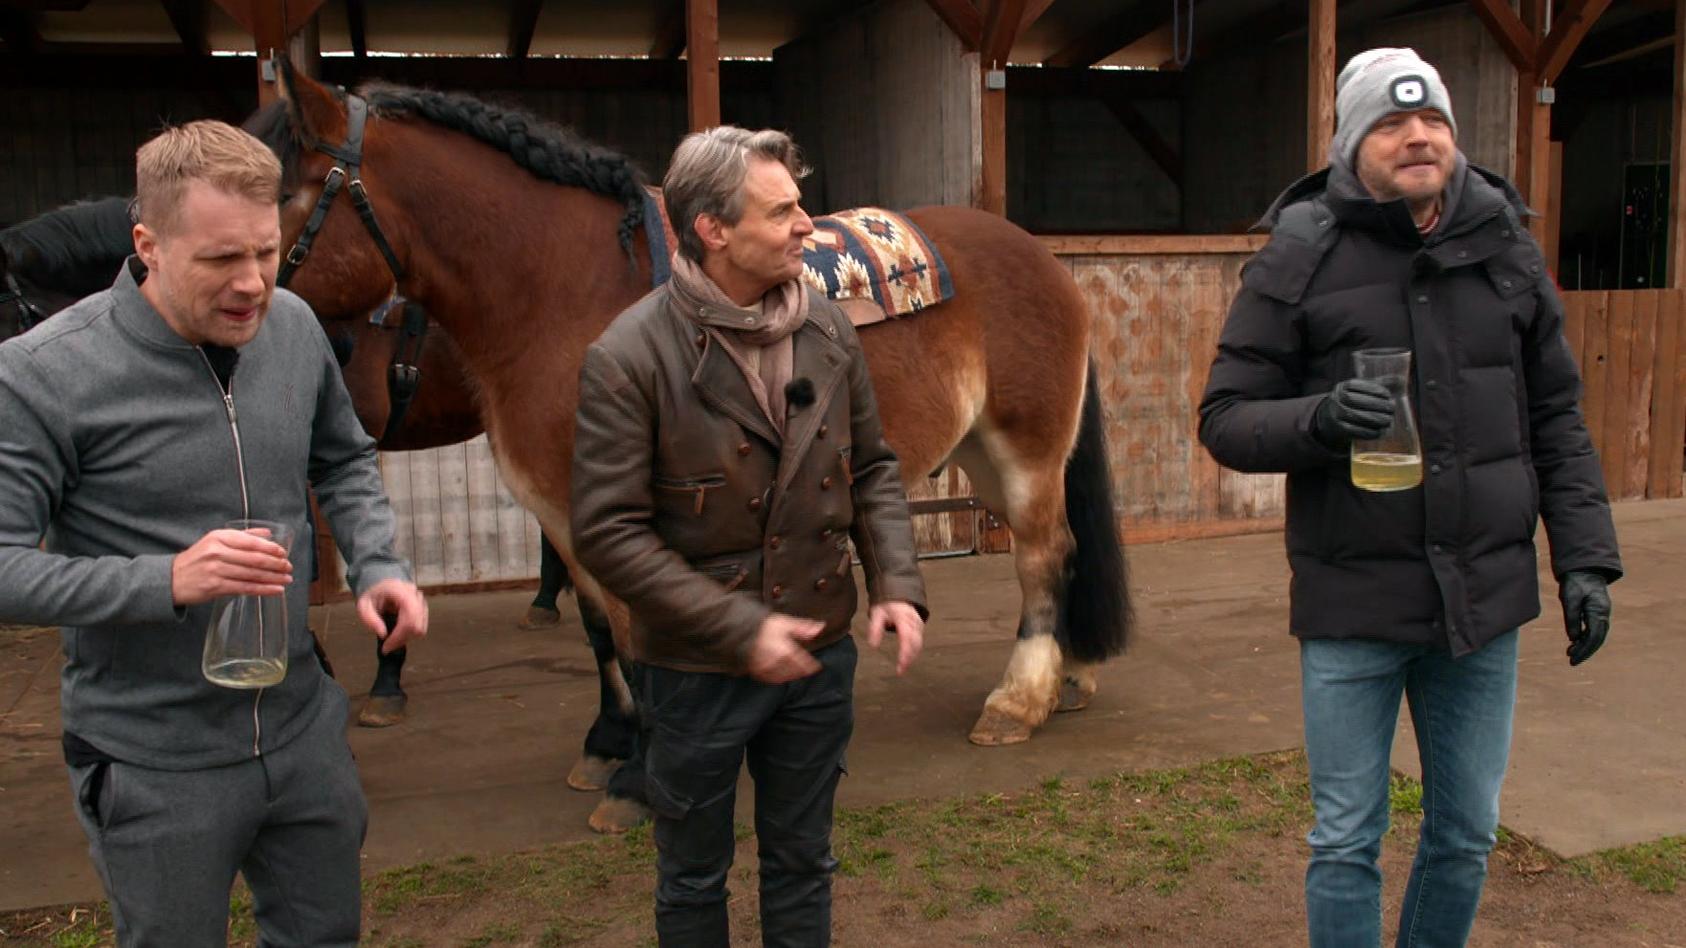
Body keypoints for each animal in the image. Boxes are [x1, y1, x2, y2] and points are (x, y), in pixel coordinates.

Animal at [259, 64, 1132, 826]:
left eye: (283, 191)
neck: (563, 292)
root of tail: (1044, 260)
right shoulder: (569, 514)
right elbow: (603, 630)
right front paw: (609, 749)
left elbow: (638, 638)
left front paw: (641, 784)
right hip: (983, 453)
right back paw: (1070, 675)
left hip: (1025, 451)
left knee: (1044, 554)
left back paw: (1019, 699)